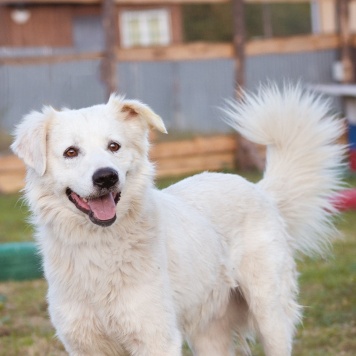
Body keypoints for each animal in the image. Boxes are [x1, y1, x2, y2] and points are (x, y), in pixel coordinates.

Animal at [11, 85, 344, 354]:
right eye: (71, 152)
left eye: (114, 146)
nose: (106, 177)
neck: (98, 247)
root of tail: (259, 189)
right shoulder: (84, 345)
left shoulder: (157, 339)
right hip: (209, 335)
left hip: (270, 315)